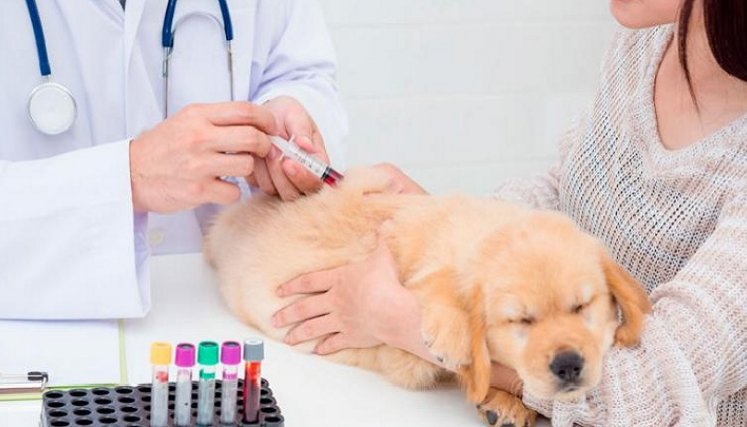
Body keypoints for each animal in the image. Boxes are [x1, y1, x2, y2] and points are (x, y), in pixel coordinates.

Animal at [203, 167, 648, 427]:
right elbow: (441, 286)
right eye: (522, 321)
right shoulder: (407, 346)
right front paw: (456, 341)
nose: (569, 365)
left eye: (582, 307)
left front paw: (507, 402)